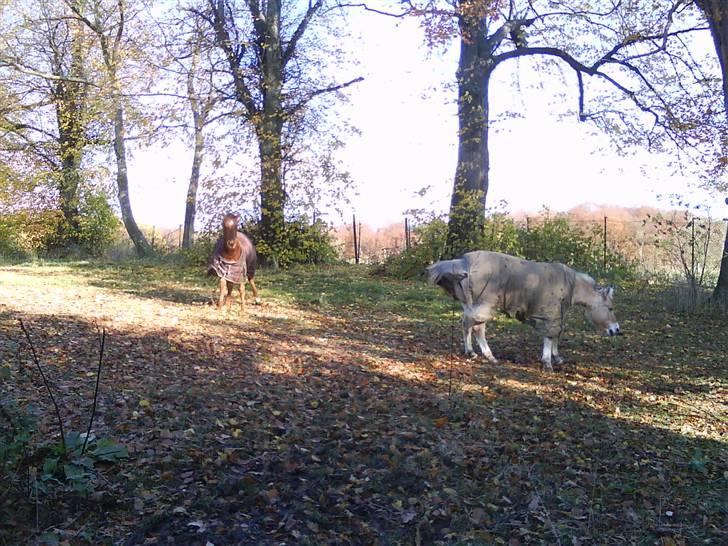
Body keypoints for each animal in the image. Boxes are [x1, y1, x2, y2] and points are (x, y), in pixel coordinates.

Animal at [426, 250, 620, 370]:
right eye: (610, 308)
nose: (616, 330)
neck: (570, 284)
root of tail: (464, 261)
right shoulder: (551, 315)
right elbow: (550, 336)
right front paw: (548, 363)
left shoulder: (556, 315)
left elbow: (557, 333)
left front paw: (556, 357)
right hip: (485, 305)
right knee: (476, 327)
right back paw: (487, 355)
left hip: (471, 304)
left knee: (468, 325)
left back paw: (472, 352)